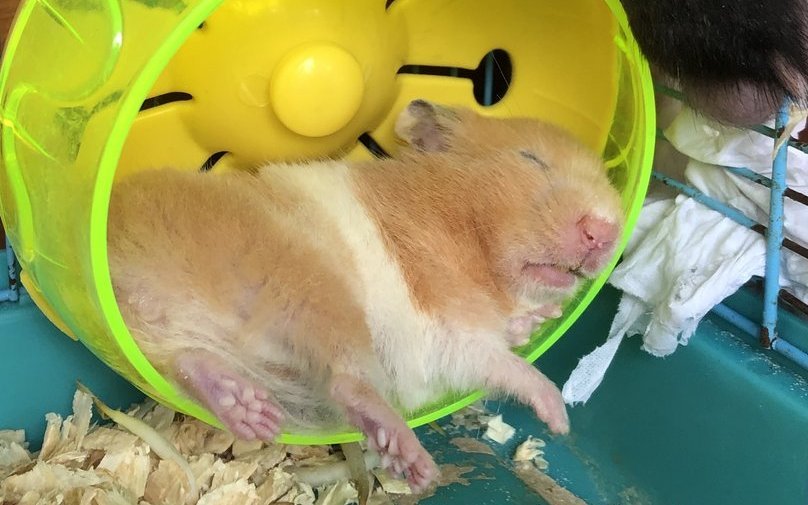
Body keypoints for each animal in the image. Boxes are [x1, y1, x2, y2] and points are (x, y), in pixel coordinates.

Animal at [106, 99, 625, 491]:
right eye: (530, 159)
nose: (605, 231)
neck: (468, 232)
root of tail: (119, 274)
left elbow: (514, 335)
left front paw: (541, 318)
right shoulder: (451, 333)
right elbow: (510, 367)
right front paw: (559, 418)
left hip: (196, 342)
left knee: (190, 364)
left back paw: (248, 410)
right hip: (310, 290)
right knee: (347, 382)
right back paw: (414, 461)